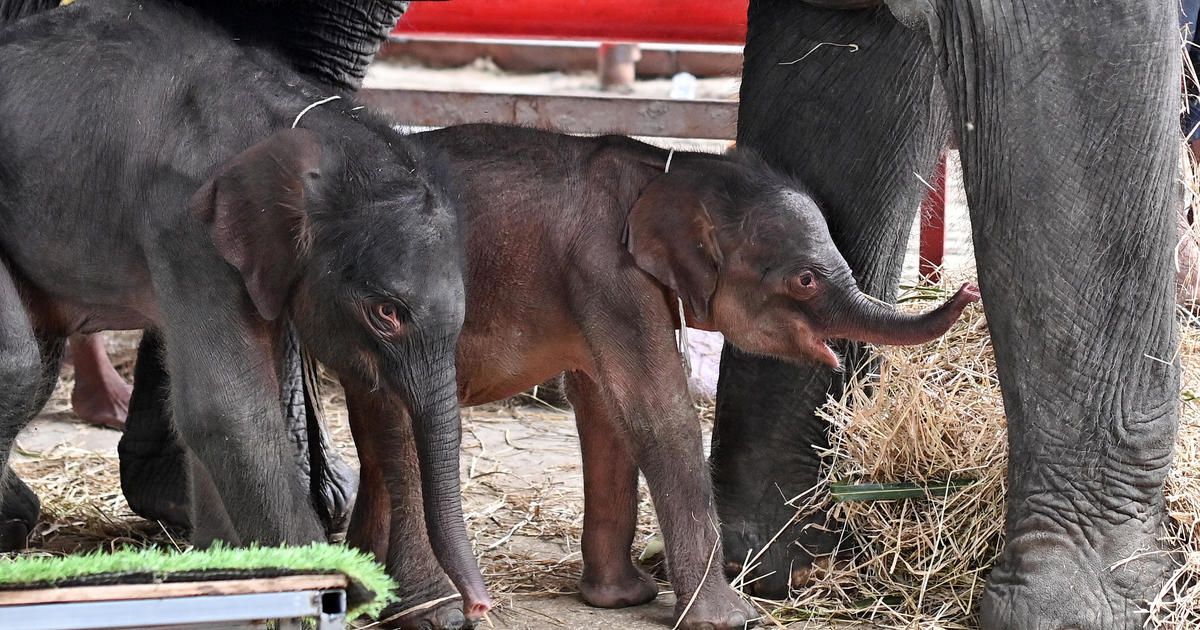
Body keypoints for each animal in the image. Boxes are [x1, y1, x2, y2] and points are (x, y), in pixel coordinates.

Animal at [343, 124, 979, 628]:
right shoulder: (607, 271)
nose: (969, 289)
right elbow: (656, 408)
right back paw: (430, 612)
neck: (669, 167)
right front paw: (728, 621)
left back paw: (357, 590)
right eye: (804, 280)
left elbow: (604, 407)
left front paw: (621, 600)